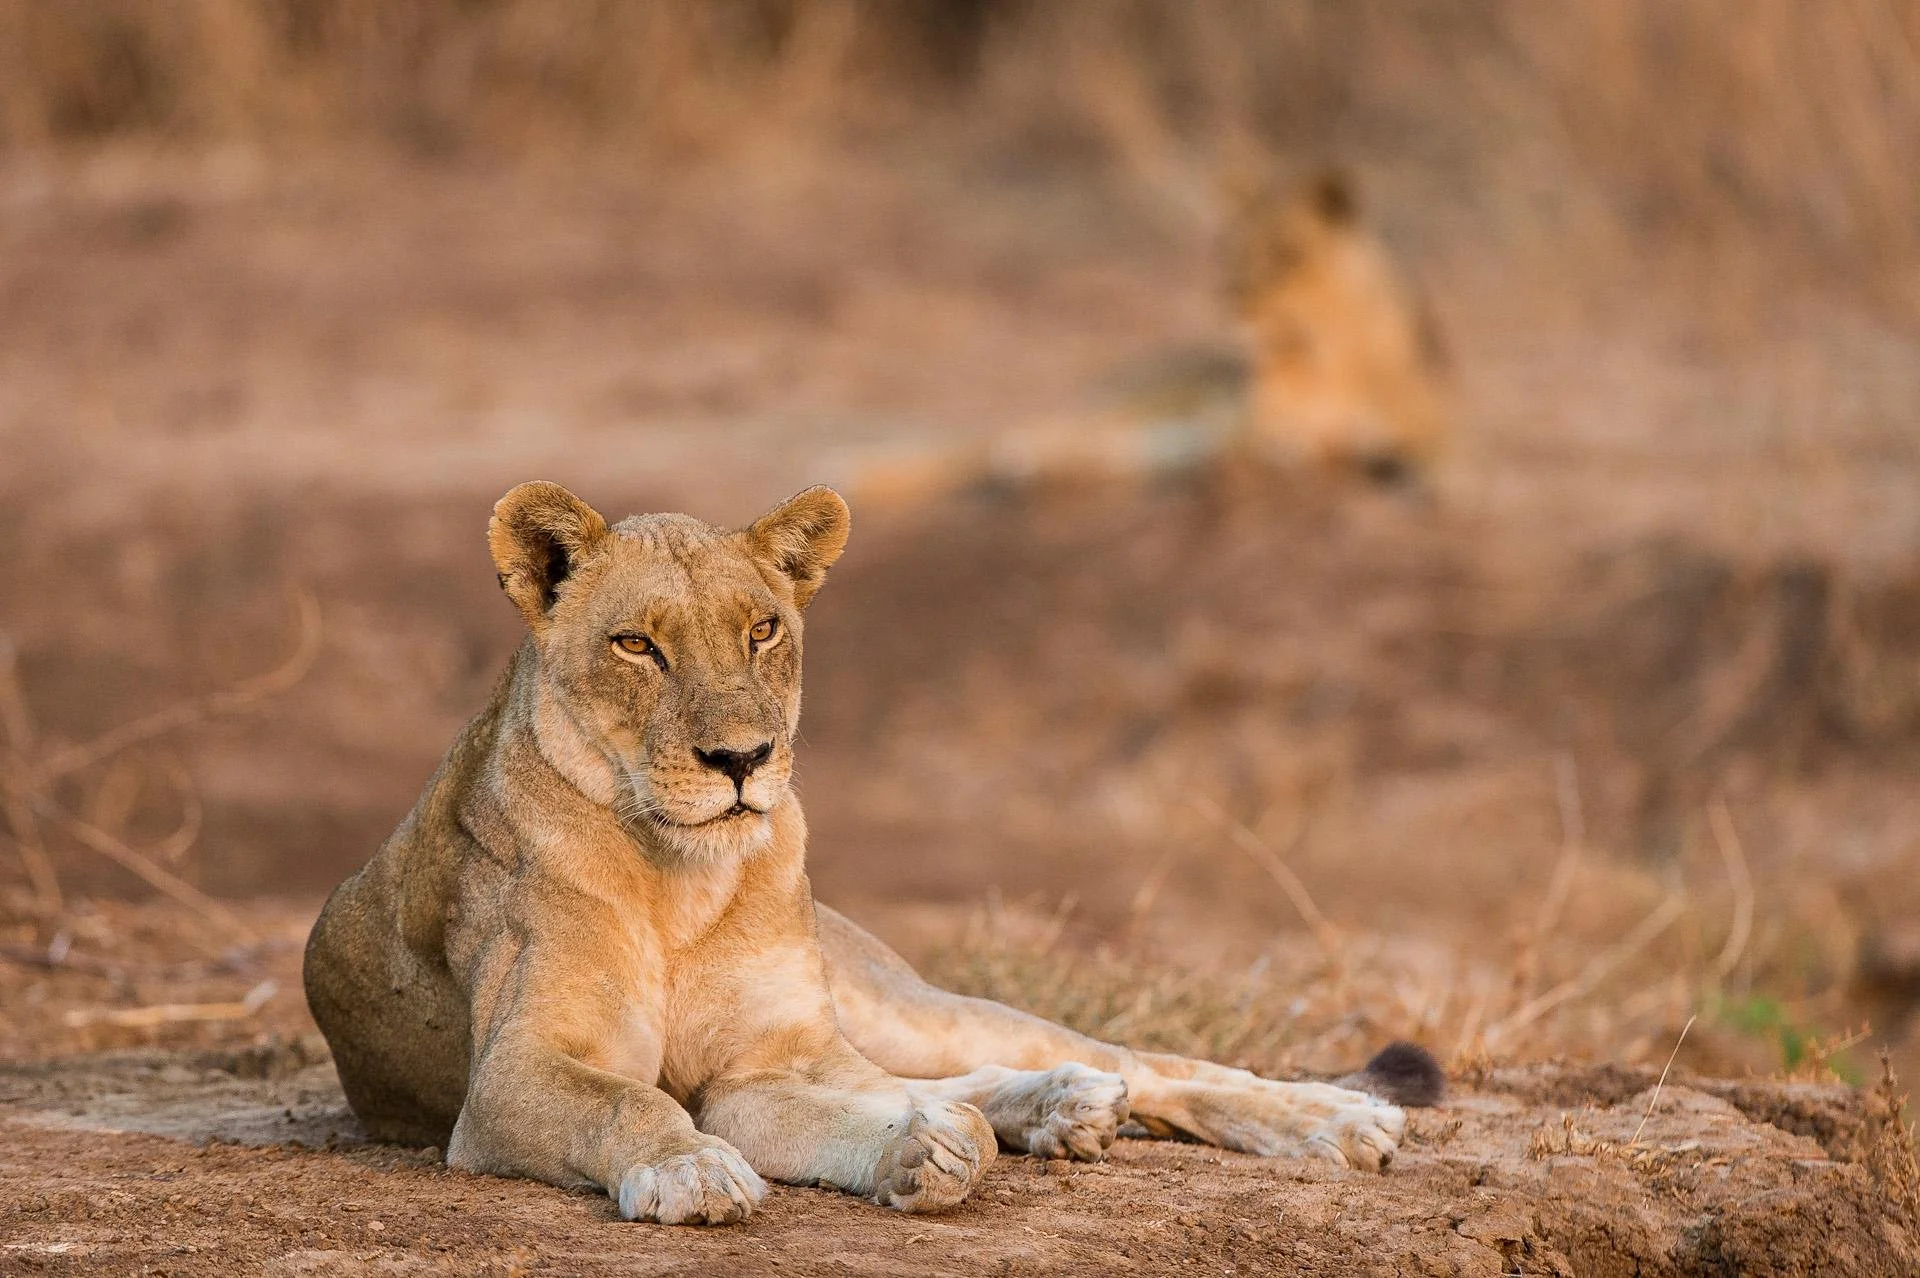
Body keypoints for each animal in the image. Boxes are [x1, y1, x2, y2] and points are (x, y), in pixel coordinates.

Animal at [303, 481, 1442, 1225]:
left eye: (762, 629)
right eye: (638, 645)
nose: (742, 760)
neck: (683, 882)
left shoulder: (773, 1060)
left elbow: (853, 1101)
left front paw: (925, 1147)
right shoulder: (514, 1079)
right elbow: (636, 1100)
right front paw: (706, 1170)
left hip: (895, 1002)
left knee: (1134, 1059)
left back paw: (1336, 1121)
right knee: (977, 1077)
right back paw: (1060, 1109)